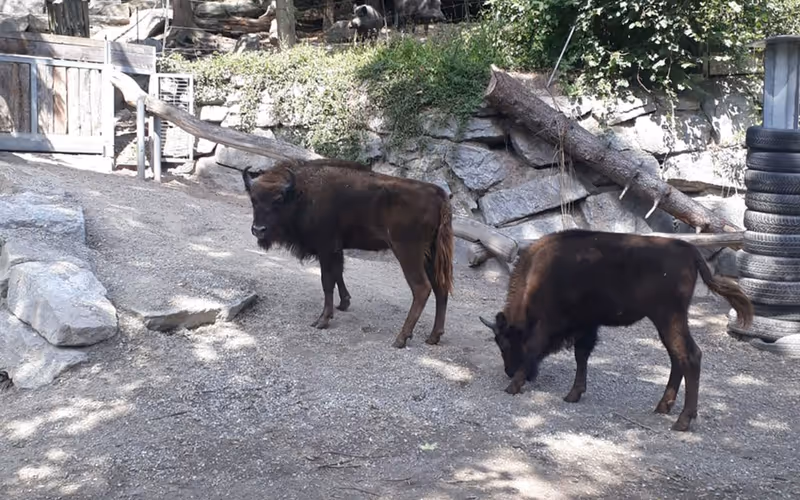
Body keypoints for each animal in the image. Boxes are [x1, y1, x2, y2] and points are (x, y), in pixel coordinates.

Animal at [242, 158, 454, 348]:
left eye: (278, 200)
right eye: (253, 199)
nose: (258, 230)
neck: (301, 193)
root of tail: (438, 195)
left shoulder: (326, 248)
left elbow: (327, 281)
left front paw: (322, 320)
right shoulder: (336, 250)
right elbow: (338, 273)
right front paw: (344, 304)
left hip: (408, 253)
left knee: (421, 288)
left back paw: (401, 338)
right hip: (431, 255)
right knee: (440, 288)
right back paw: (433, 337)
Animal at [479, 229, 754, 432]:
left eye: (504, 342)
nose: (508, 371)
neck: (537, 275)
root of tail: (689, 251)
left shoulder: (548, 323)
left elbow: (538, 348)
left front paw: (513, 386)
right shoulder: (587, 324)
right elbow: (581, 355)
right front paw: (574, 394)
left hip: (669, 318)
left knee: (690, 356)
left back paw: (682, 421)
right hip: (666, 321)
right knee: (677, 358)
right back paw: (663, 407)